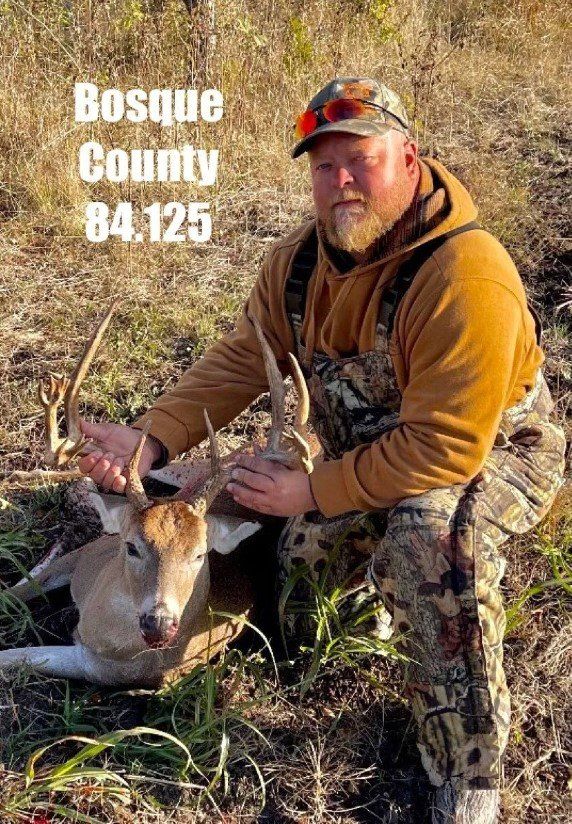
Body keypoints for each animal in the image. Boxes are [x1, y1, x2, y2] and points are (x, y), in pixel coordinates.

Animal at [0, 303, 313, 686]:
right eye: (132, 546)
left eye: (200, 555)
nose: (159, 625)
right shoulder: (87, 553)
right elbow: (16, 592)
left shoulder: (103, 668)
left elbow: (15, 657)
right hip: (209, 463)